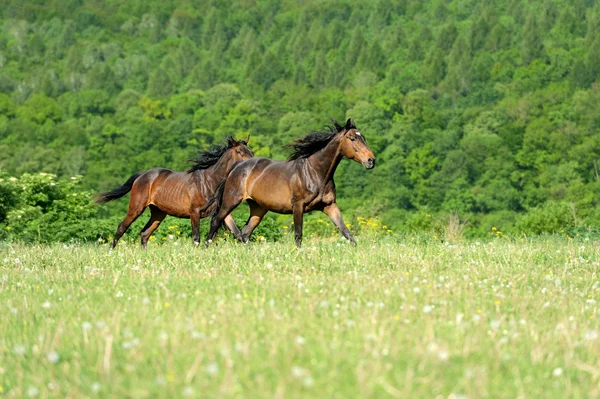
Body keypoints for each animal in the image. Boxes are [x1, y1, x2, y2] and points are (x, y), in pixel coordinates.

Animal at [95, 139, 253, 248]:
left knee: (145, 233)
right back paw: (111, 250)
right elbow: (196, 238)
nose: (252, 162)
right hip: (136, 208)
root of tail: (142, 175)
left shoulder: (222, 212)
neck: (209, 182)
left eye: (250, 151)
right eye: (240, 151)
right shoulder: (194, 213)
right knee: (122, 227)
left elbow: (238, 233)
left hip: (158, 213)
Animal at [206, 119, 376, 247]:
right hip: (230, 201)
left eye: (364, 138)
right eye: (352, 138)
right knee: (216, 221)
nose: (371, 161)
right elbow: (298, 235)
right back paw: (207, 247)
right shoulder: (298, 206)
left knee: (245, 233)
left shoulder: (329, 206)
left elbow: (347, 233)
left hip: (258, 208)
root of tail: (236, 167)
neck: (315, 172)